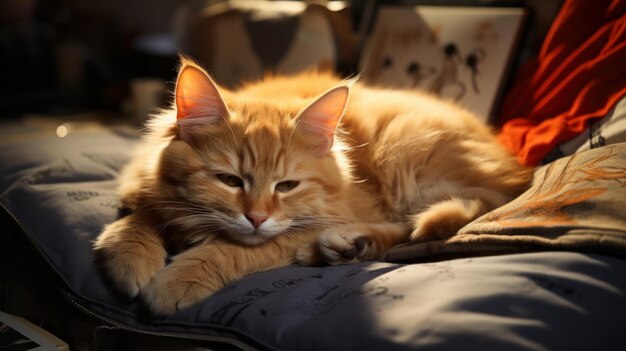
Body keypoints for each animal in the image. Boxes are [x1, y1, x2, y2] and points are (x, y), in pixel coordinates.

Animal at [92, 58, 528, 316]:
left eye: (287, 186)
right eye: (230, 181)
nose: (256, 217)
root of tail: (514, 171)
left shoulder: (325, 217)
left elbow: (233, 251)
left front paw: (176, 281)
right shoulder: (143, 189)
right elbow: (140, 216)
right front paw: (129, 255)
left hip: (408, 155)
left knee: (415, 225)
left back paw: (345, 245)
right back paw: (347, 248)